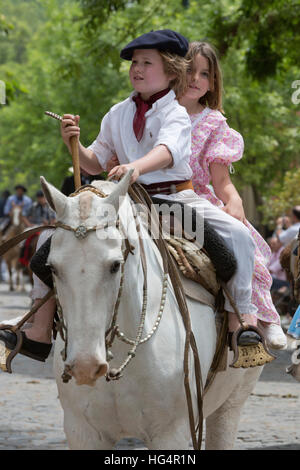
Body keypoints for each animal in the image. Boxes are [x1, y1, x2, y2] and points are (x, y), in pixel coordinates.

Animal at [40, 172, 262, 448]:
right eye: (52, 268)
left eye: (115, 265)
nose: (85, 366)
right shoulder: (82, 432)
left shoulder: (171, 434)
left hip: (231, 402)